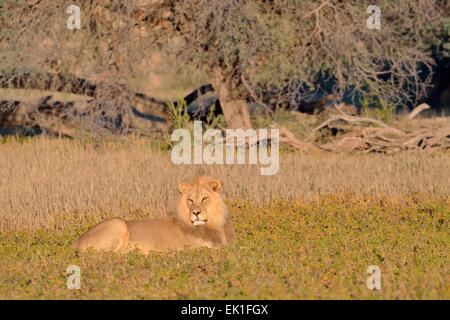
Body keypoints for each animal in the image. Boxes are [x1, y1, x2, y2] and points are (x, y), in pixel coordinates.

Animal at [73, 176, 236, 254]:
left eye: (204, 198)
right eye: (190, 200)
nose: (196, 213)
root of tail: (75, 243)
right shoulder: (193, 246)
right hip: (117, 223)